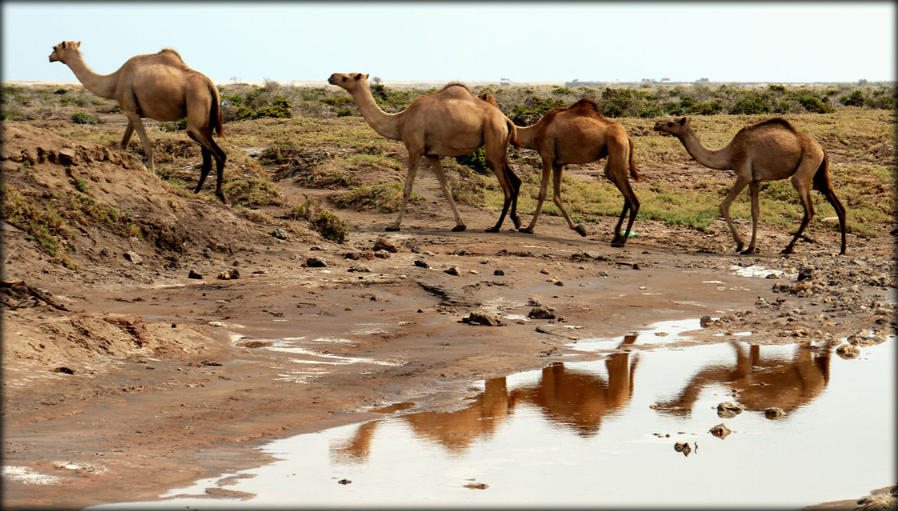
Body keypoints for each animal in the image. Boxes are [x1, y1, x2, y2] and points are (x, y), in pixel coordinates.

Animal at [48, 41, 228, 203]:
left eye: (55, 47)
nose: (50, 57)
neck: (114, 81)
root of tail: (211, 85)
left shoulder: (131, 111)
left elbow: (147, 147)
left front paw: (154, 177)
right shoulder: (131, 113)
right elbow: (123, 144)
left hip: (196, 102)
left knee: (218, 153)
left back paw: (220, 195)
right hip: (205, 120)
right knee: (208, 157)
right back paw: (197, 192)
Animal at [328, 72, 520, 232]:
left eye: (346, 77)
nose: (331, 77)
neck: (400, 121)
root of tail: (506, 119)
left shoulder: (415, 149)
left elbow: (408, 187)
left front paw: (394, 225)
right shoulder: (431, 154)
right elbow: (445, 187)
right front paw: (460, 224)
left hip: (494, 135)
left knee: (507, 186)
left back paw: (496, 227)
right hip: (499, 143)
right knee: (514, 180)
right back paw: (515, 222)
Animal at [486, 98, 640, 248]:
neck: (536, 131)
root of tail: (627, 137)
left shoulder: (547, 156)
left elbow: (542, 192)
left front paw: (528, 228)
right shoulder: (558, 163)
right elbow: (557, 196)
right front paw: (579, 228)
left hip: (617, 148)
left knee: (632, 198)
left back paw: (621, 241)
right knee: (625, 194)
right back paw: (617, 236)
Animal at [652, 118, 848, 258]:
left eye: (671, 122)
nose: (656, 124)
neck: (728, 154)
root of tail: (821, 147)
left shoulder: (743, 174)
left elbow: (723, 205)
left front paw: (740, 245)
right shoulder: (755, 179)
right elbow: (755, 211)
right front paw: (751, 247)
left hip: (804, 170)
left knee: (809, 209)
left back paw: (788, 248)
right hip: (819, 174)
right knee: (838, 205)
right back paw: (842, 249)